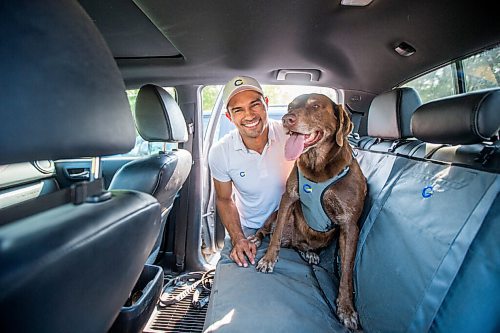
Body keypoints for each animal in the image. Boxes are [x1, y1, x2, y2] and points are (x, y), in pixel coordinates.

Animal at [250, 93, 368, 330]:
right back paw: (258, 239)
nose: (286, 119)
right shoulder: (288, 198)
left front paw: (346, 308)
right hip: (275, 216)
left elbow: (347, 272)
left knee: (303, 246)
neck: (318, 166)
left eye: (316, 106)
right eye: (290, 106)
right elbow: (275, 237)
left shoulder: (350, 225)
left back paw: (309, 253)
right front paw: (268, 259)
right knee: (268, 231)